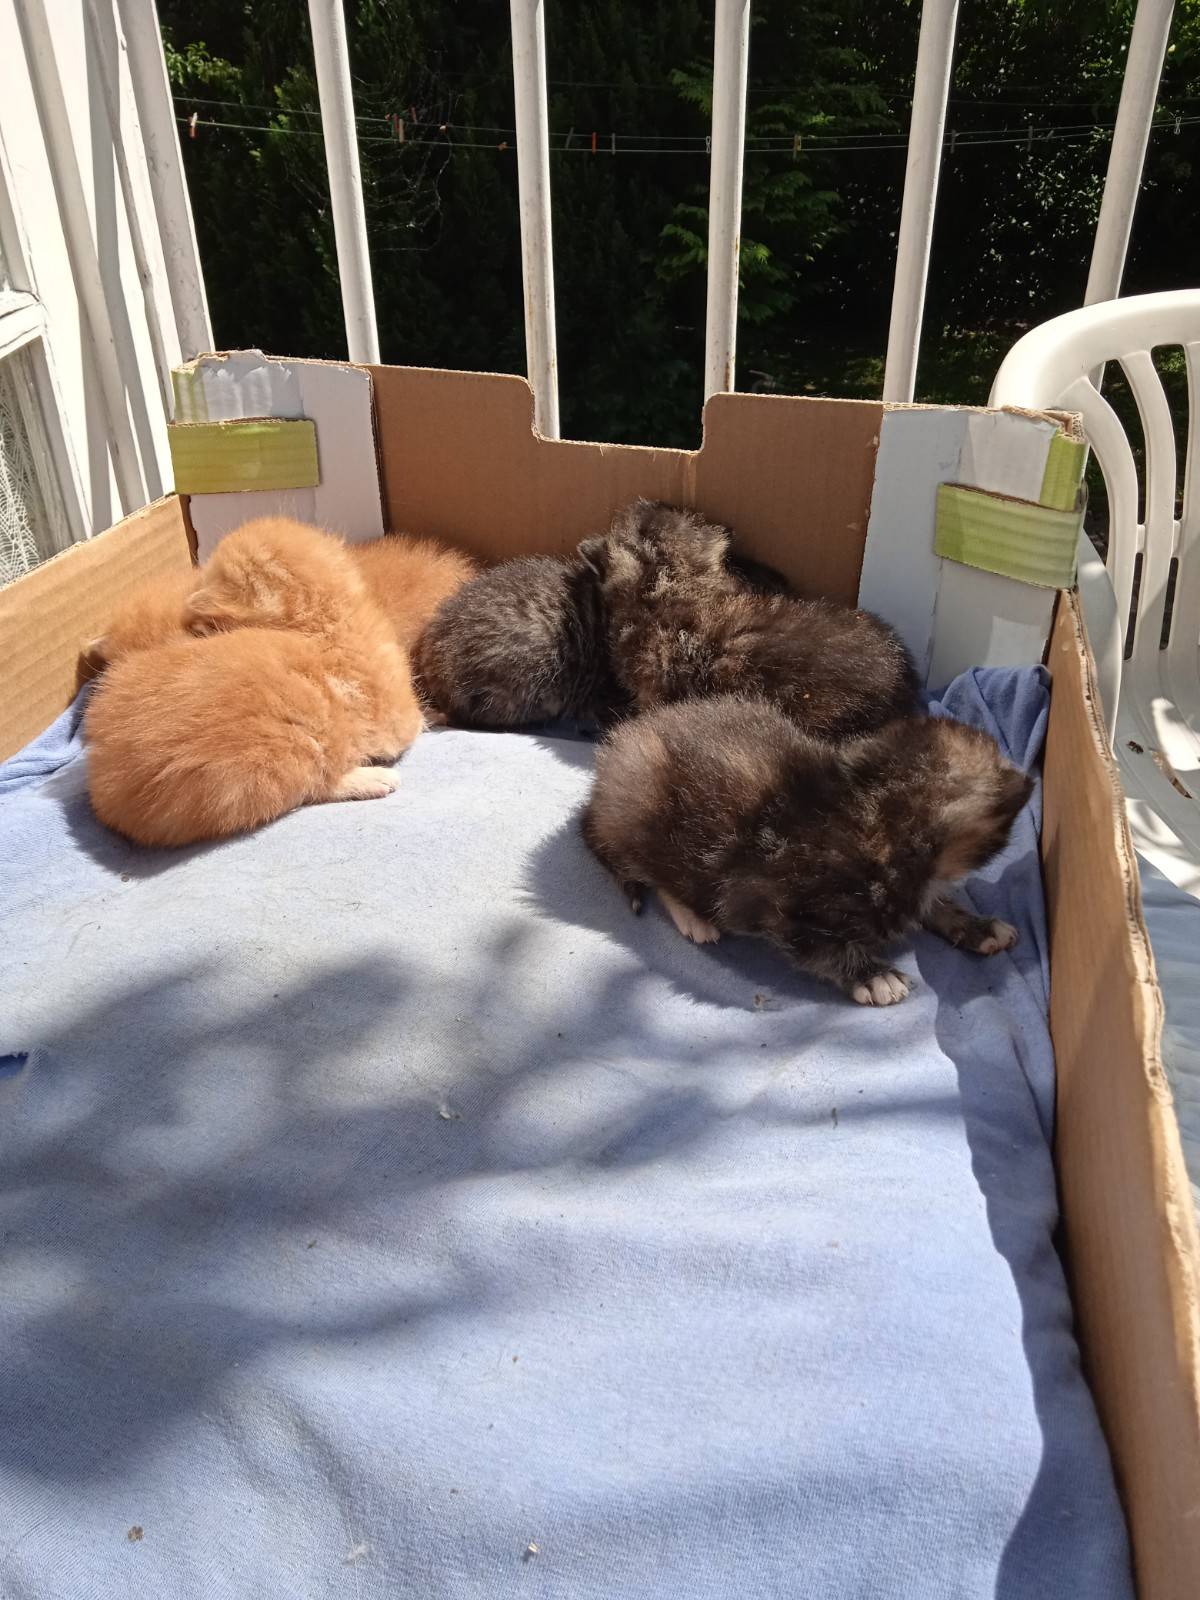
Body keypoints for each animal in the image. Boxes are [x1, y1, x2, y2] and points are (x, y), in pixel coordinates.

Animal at [581, 693, 1032, 1006]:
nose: (1026, 779)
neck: (869, 810)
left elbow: (932, 904)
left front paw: (977, 926)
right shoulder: (778, 904)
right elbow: (825, 947)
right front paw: (873, 975)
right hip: (642, 817)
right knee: (651, 871)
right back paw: (694, 917)